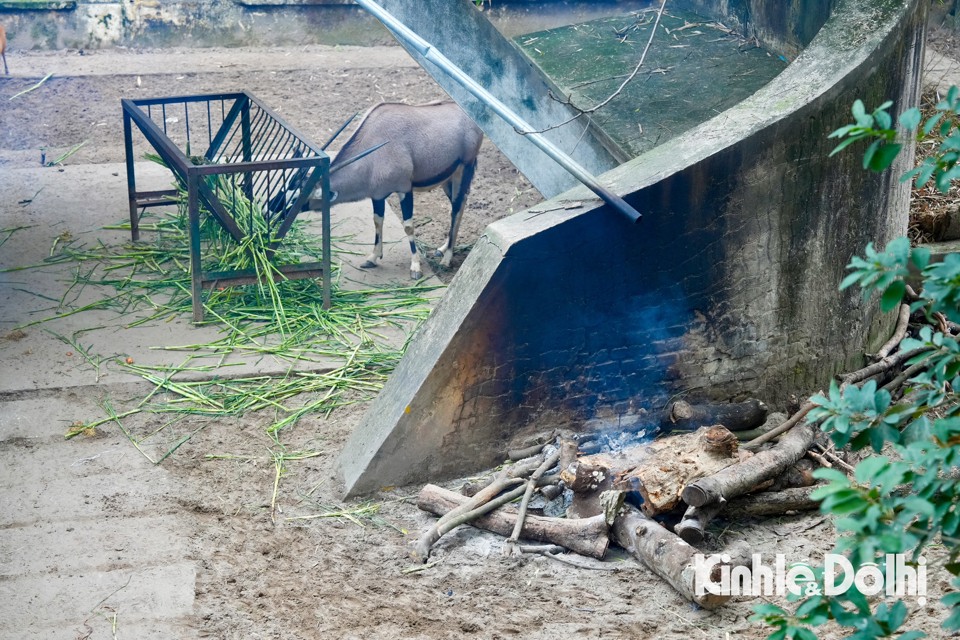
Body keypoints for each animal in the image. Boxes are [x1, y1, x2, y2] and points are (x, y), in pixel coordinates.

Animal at [320, 101, 480, 278]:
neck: (374, 139)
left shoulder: (404, 189)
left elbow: (408, 226)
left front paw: (415, 267)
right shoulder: (377, 195)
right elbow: (377, 221)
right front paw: (373, 258)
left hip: (464, 169)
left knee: (457, 207)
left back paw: (447, 258)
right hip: (447, 178)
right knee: (459, 204)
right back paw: (442, 249)